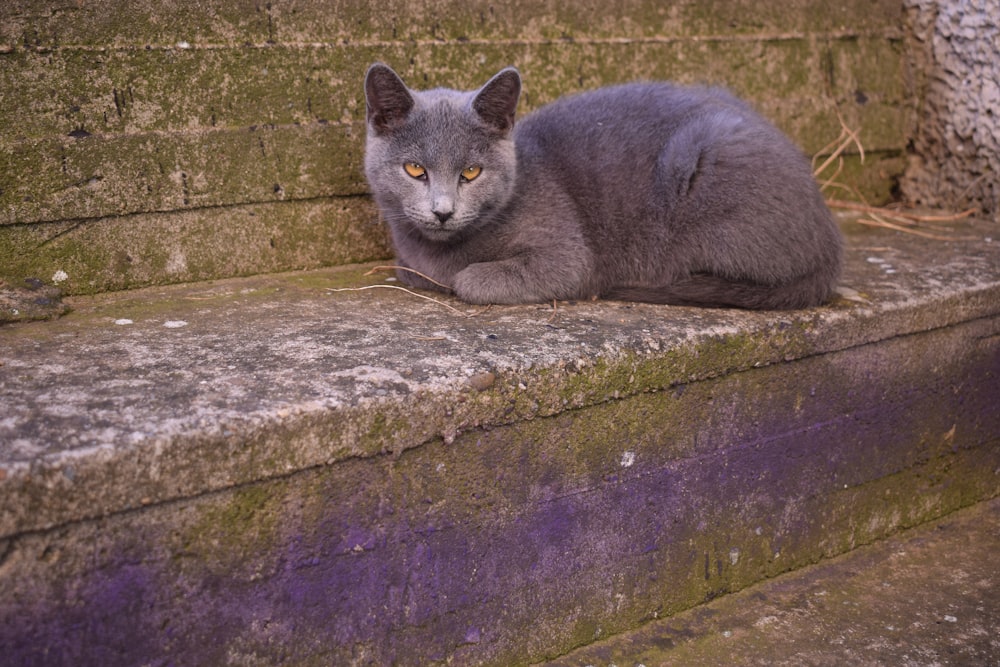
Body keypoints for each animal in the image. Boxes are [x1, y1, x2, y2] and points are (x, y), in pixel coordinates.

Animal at [364, 64, 840, 310]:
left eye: (471, 173)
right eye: (414, 169)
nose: (443, 211)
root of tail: (831, 244)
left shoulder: (566, 255)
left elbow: (470, 280)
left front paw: (462, 277)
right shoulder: (410, 262)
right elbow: (410, 271)